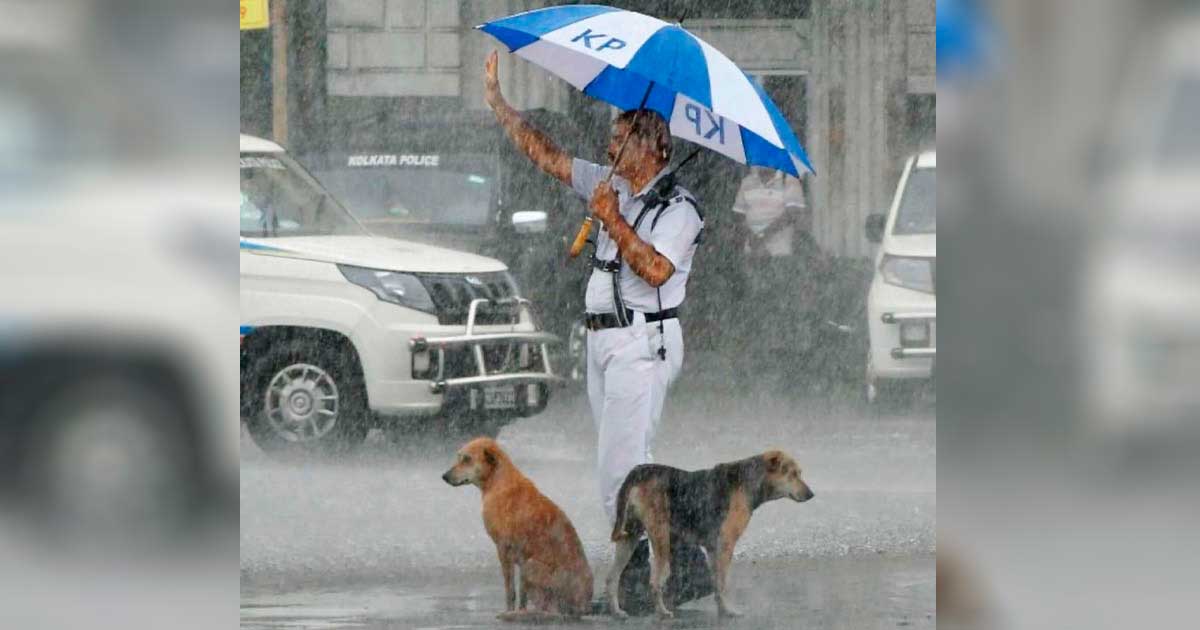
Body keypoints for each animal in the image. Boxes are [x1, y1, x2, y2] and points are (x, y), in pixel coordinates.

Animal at [444, 436, 592, 619]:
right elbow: (522, 595)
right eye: (459, 457)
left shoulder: (503, 549)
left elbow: (510, 590)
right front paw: (518, 609)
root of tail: (582, 607)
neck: (498, 481)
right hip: (528, 568)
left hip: (531, 566)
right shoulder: (519, 559)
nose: (444, 476)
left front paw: (509, 610)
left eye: (467, 459)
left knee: (551, 609)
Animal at [609, 448, 816, 614]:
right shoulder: (726, 545)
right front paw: (729, 611)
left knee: (612, 578)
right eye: (792, 474)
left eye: (800, 473)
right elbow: (723, 583)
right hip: (661, 538)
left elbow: (716, 583)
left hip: (630, 537)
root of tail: (639, 471)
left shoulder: (712, 548)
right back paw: (662, 612)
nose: (811, 495)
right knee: (654, 582)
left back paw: (617, 612)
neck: (749, 480)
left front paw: (722, 609)